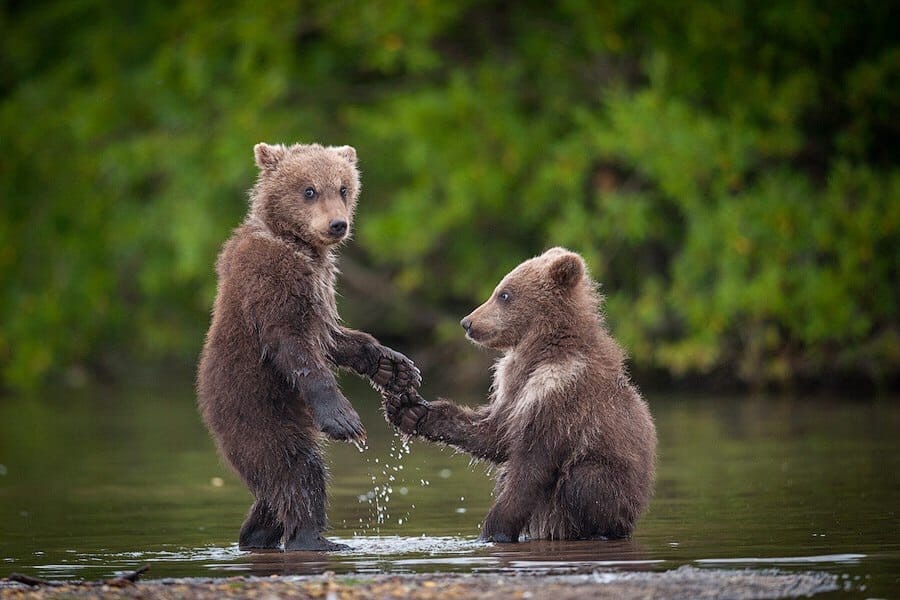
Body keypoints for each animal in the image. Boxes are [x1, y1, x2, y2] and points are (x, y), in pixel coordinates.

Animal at [196, 142, 418, 552]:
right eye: (309, 190)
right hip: (256, 411)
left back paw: (257, 533)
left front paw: (393, 367)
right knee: (296, 467)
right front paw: (344, 418)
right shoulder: (270, 282)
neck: (299, 244)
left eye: (343, 188)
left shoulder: (322, 289)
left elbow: (332, 337)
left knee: (273, 490)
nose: (337, 224)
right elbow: (295, 349)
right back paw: (314, 538)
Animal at [384, 248, 656, 544]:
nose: (467, 322)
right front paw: (410, 410)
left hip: (615, 484)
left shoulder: (561, 395)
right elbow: (493, 434)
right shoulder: (512, 390)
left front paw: (493, 531)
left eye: (504, 294)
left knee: (584, 483)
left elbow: (531, 465)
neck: (539, 353)